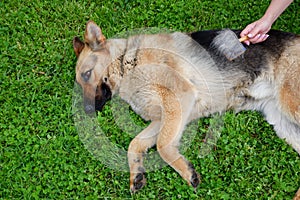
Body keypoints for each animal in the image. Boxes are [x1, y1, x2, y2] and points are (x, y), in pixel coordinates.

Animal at [73, 21, 300, 198]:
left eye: (87, 74)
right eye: (80, 82)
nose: (87, 111)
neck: (126, 62)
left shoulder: (179, 98)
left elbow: (163, 146)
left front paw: (185, 171)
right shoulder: (164, 117)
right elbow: (134, 144)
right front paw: (136, 173)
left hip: (291, 105)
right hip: (283, 124)